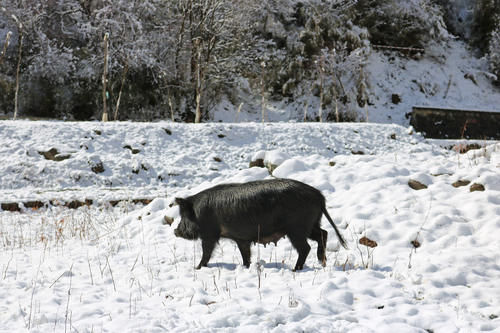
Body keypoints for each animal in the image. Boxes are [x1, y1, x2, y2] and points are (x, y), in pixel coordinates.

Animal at [174, 179, 346, 270]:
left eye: (183, 216)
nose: (175, 231)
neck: (198, 212)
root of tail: (319, 196)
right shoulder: (241, 238)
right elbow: (245, 254)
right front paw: (246, 267)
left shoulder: (209, 234)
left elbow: (207, 252)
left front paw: (197, 268)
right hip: (310, 225)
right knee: (323, 233)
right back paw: (322, 262)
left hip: (297, 228)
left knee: (306, 247)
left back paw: (295, 270)